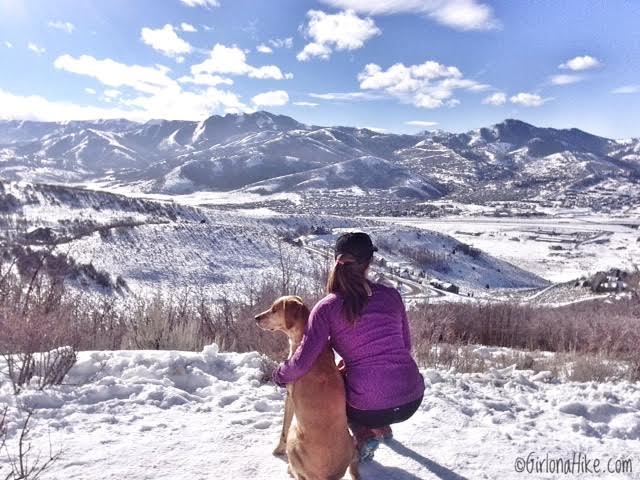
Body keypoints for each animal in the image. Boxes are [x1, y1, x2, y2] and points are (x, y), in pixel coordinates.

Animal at [255, 296, 360, 480]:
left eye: (274, 309)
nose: (256, 318)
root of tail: (329, 476)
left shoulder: (289, 396)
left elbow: (283, 429)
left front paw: (278, 450)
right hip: (352, 441)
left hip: (294, 438)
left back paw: (290, 469)